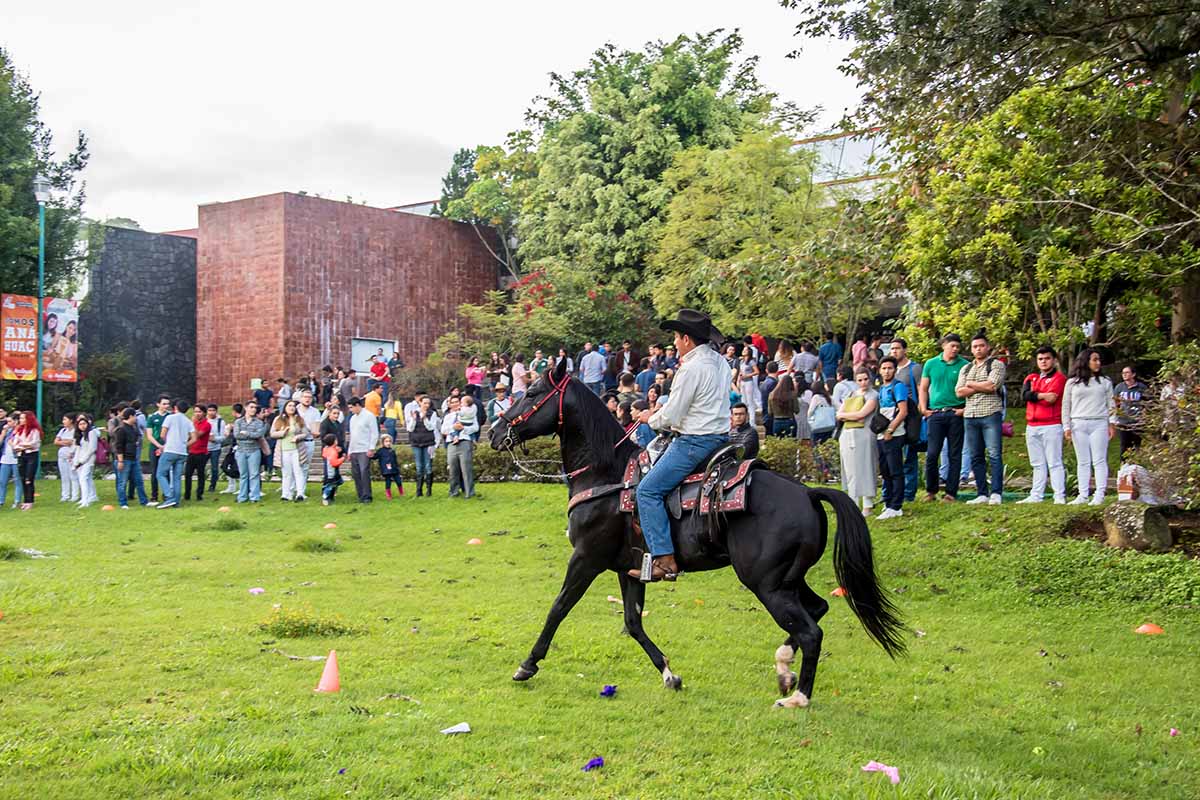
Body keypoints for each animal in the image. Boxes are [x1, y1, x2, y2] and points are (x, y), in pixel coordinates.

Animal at [487, 357, 902, 705]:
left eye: (531, 393)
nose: (494, 432)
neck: (606, 477)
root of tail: (807, 492)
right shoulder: (630, 568)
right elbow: (633, 622)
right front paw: (670, 674)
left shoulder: (587, 558)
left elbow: (558, 608)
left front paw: (527, 665)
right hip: (788, 579)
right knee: (817, 610)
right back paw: (784, 669)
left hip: (767, 583)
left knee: (811, 632)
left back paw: (798, 695)